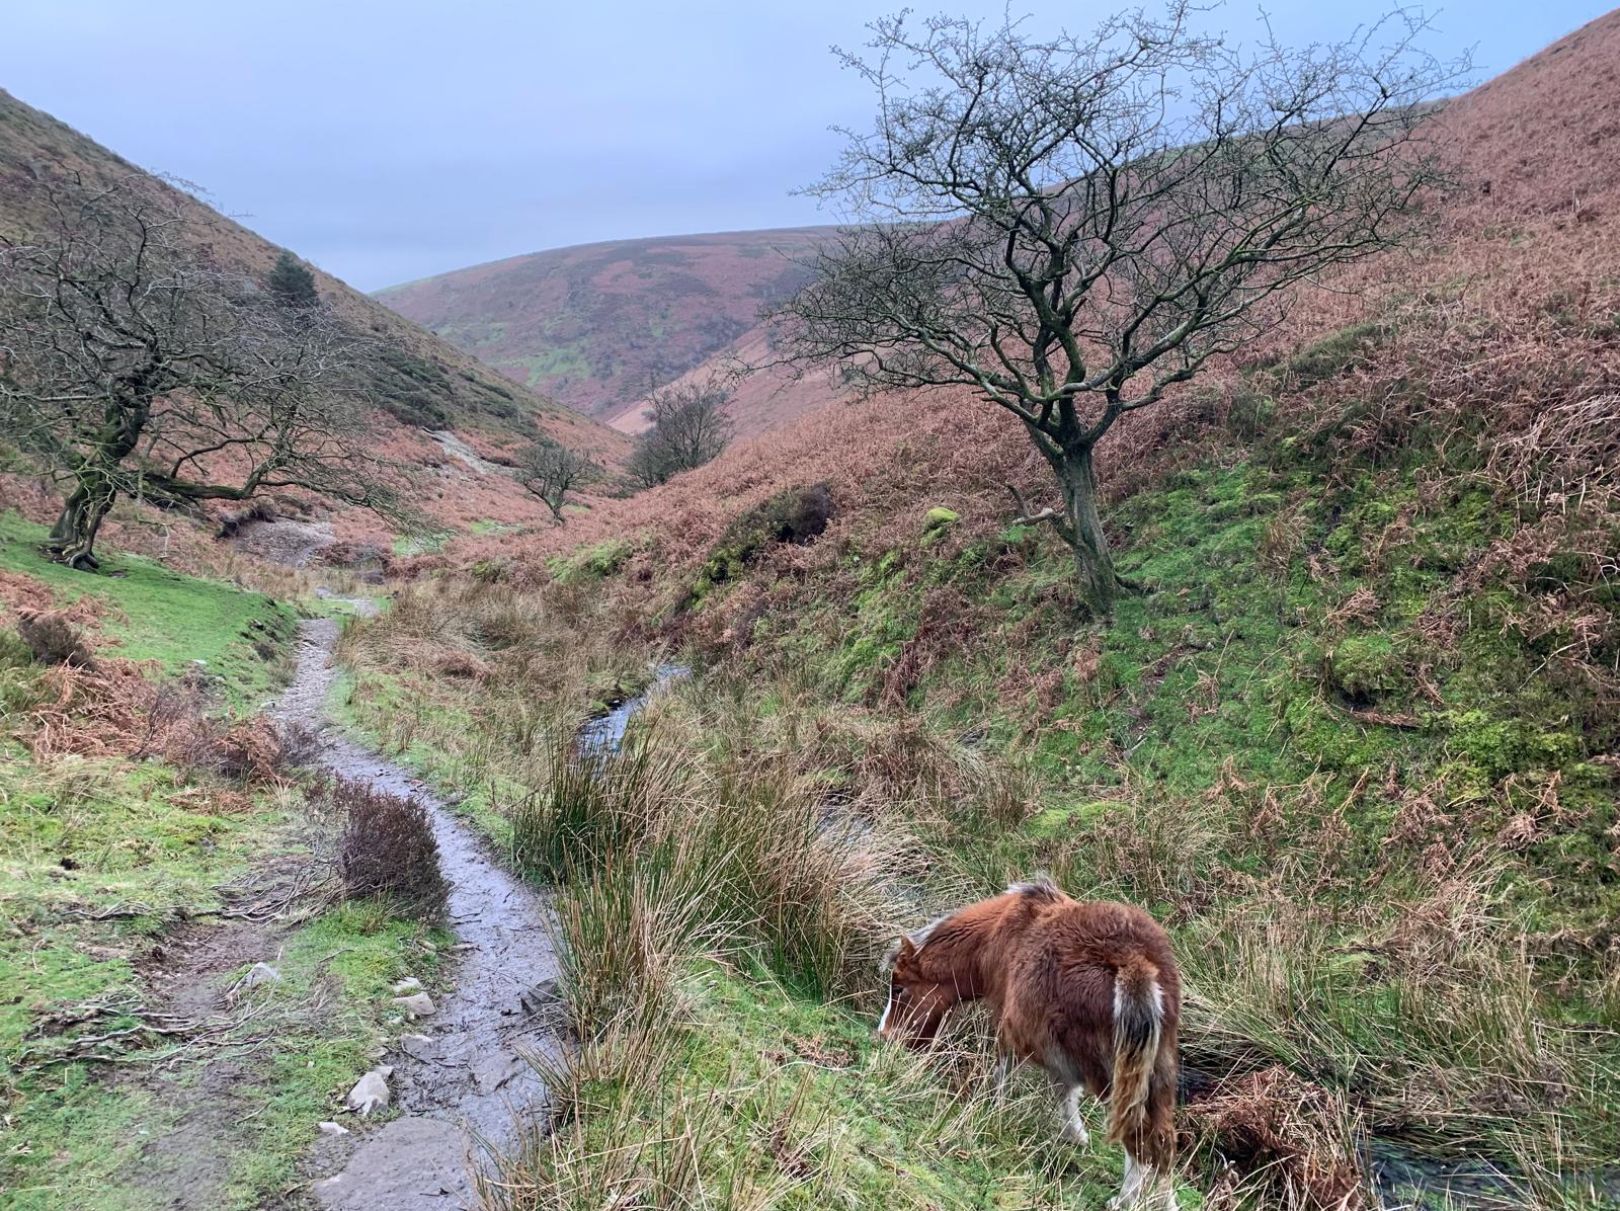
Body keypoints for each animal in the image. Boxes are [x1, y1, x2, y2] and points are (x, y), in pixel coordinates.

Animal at [877, 876, 1180, 1210]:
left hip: (1110, 1070)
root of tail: (1134, 963)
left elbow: (1007, 1072)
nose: (885, 1036)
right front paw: (1076, 1135)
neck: (1000, 935)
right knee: (1162, 1140)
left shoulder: (1008, 1023)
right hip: (1157, 1069)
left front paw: (994, 1111)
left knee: (1138, 1135)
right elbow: (1064, 1088)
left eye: (899, 988)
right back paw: (1163, 1201)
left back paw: (1125, 1199)